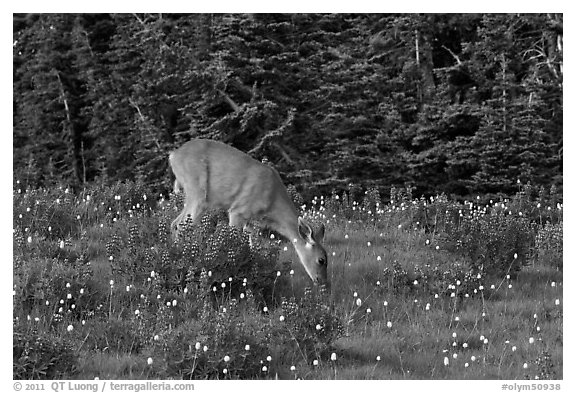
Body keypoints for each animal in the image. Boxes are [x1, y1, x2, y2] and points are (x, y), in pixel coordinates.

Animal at [168, 139, 328, 284]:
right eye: (321, 260)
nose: (323, 283)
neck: (272, 203)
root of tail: (173, 155)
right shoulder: (238, 211)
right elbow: (233, 240)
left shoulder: (251, 222)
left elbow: (252, 246)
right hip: (197, 191)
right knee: (180, 225)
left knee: (174, 223)